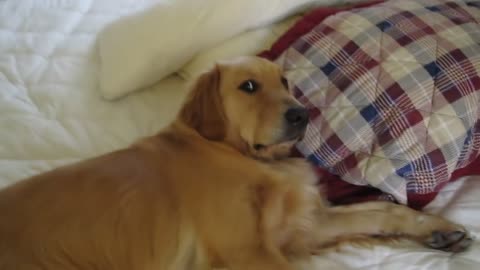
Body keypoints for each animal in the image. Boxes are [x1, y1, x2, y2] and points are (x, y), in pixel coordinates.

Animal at [0, 56, 472, 268]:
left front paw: (437, 229)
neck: (239, 155)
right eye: (248, 86)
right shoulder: (244, 250)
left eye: (285, 82)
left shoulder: (299, 226)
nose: (302, 114)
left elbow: (382, 210)